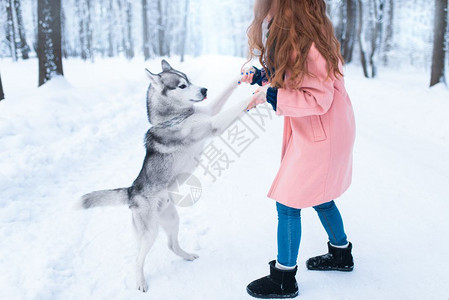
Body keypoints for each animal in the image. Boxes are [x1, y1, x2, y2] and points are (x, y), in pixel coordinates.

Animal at [79, 59, 250, 292]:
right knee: (137, 259)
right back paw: (140, 282)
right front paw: (258, 94)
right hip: (149, 232)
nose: (204, 90)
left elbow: (226, 92)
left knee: (171, 245)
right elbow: (238, 105)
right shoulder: (213, 124)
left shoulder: (209, 110)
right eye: (182, 85)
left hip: (171, 218)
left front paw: (245, 75)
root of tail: (132, 191)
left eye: (190, 80)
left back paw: (187, 255)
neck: (174, 118)